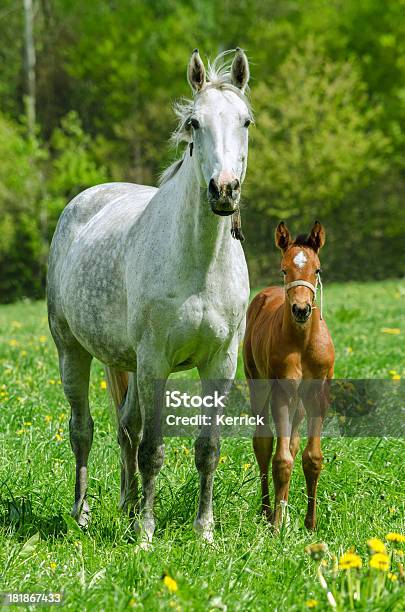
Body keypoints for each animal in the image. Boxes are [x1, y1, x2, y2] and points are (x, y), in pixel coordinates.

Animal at [46, 49, 249, 544]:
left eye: (246, 121)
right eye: (195, 122)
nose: (224, 190)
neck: (199, 262)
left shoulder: (220, 364)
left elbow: (207, 448)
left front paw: (203, 532)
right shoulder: (156, 361)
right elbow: (153, 450)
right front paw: (147, 536)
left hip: (129, 364)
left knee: (126, 428)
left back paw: (129, 505)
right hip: (72, 352)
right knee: (84, 430)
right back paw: (83, 513)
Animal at [243, 221, 334, 532]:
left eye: (317, 270)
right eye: (284, 270)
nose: (301, 310)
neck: (302, 341)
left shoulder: (318, 395)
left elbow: (312, 458)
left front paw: (311, 523)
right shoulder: (281, 393)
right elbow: (280, 459)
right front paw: (276, 527)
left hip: (301, 403)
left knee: (292, 444)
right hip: (258, 386)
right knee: (263, 443)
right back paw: (267, 511)